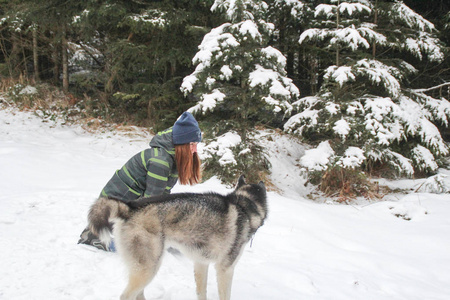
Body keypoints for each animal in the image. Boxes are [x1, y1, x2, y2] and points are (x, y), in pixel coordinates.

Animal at [88, 175, 268, 298]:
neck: (245, 205)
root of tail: (129, 207)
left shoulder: (201, 263)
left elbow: (201, 292)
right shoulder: (225, 269)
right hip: (148, 268)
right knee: (126, 295)